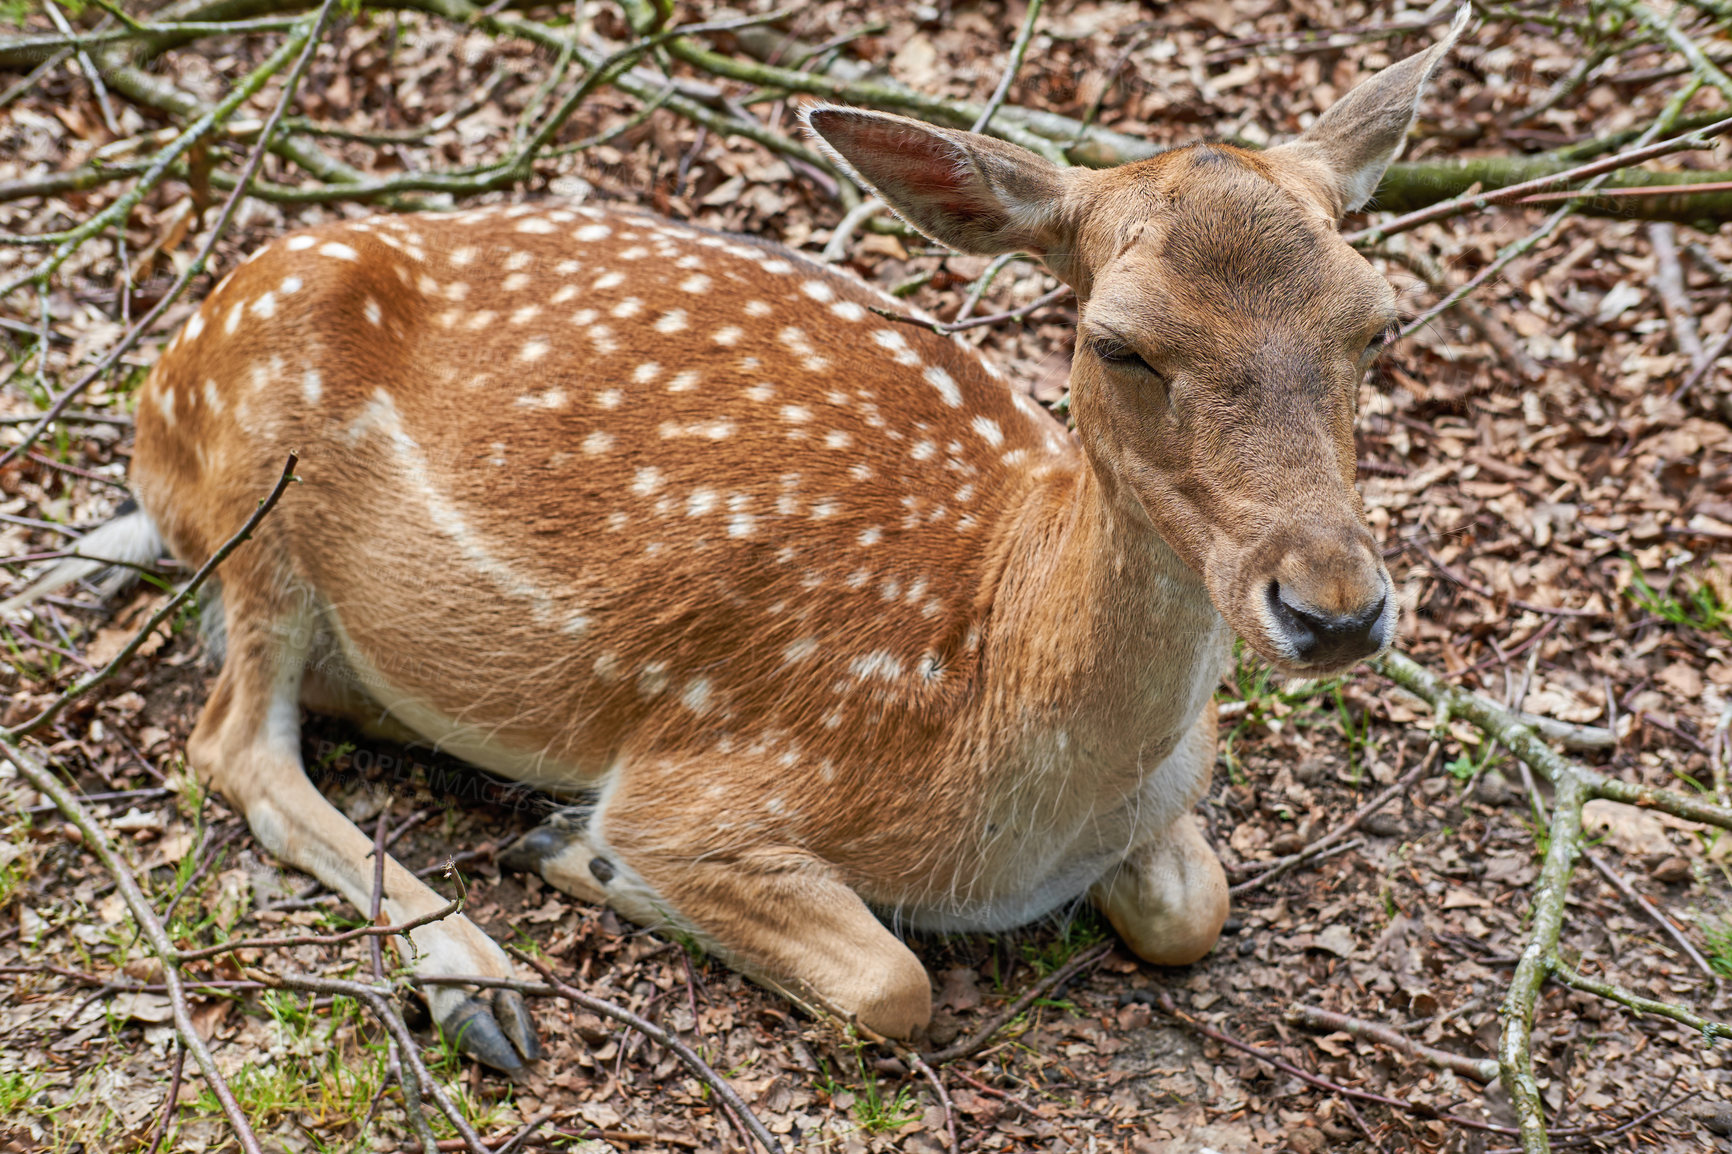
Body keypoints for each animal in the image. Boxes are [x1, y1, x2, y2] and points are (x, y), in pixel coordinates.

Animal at [10, 13, 1461, 1067]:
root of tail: (161, 393)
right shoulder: (712, 785)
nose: (1335, 607)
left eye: (1375, 318)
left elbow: (1192, 911)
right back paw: (479, 978)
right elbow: (892, 979)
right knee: (231, 743)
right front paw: (580, 854)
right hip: (259, 488)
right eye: (1121, 341)